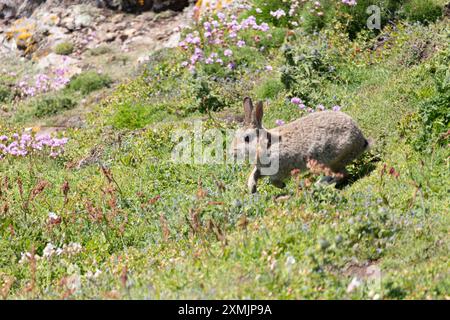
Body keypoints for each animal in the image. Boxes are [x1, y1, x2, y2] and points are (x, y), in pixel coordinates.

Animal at [232, 97, 370, 192]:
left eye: (247, 138)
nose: (233, 153)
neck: (267, 144)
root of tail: (361, 139)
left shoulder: (280, 168)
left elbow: (273, 180)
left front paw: (282, 186)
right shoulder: (262, 169)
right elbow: (254, 175)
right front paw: (252, 188)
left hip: (334, 159)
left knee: (342, 174)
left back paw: (320, 185)